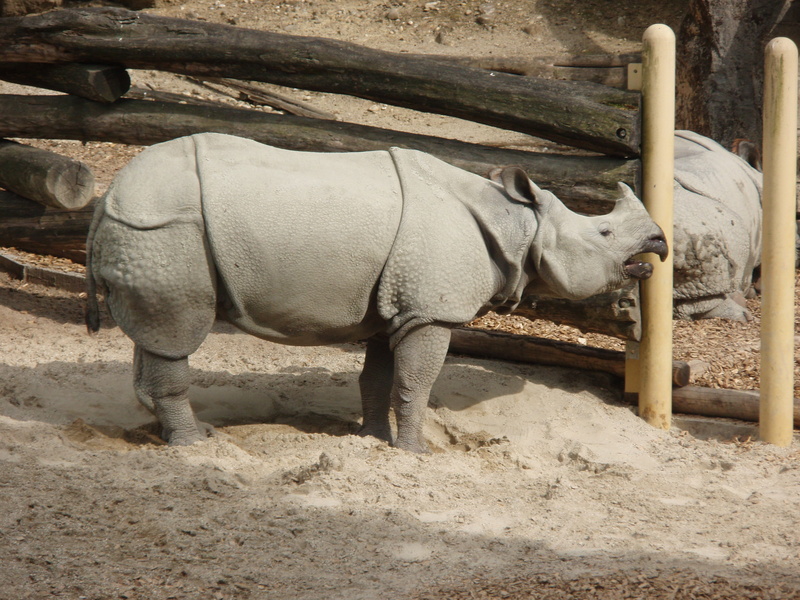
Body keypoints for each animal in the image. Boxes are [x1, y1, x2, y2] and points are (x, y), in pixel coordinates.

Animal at [86, 133, 667, 453]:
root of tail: (107, 195)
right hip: (165, 228)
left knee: (157, 336)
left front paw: (370, 440)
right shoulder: (431, 310)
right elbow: (417, 382)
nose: (660, 242)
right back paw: (193, 445)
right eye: (605, 233)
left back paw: (170, 431)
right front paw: (416, 453)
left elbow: (379, 377)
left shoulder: (398, 306)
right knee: (178, 331)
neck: (519, 223)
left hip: (152, 232)